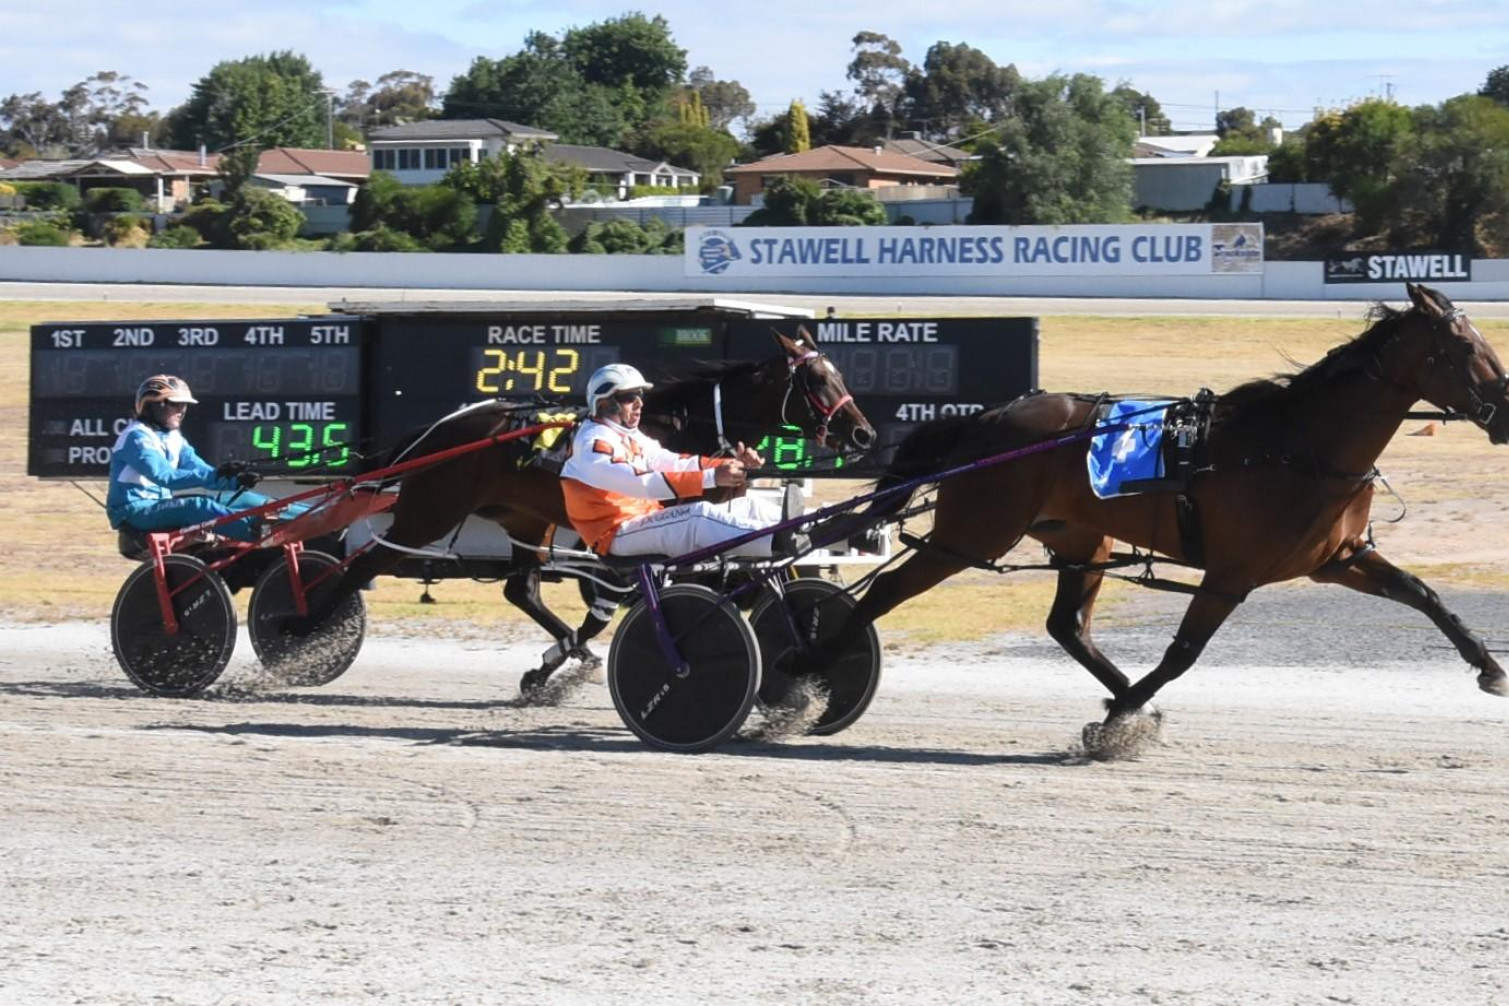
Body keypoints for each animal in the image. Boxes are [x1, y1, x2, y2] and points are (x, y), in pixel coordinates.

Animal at [820, 282, 1509, 733]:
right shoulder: (1232, 574)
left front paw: (1489, 667)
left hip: (1077, 539)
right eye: (1463, 348)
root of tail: (987, 420)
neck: (1298, 445)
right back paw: (811, 675)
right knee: (881, 596)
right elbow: (1184, 652)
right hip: (973, 534)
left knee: (1067, 626)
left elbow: (1424, 595)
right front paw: (1116, 721)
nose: (1504, 408)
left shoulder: (1338, 558)